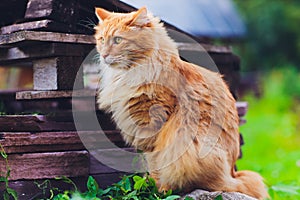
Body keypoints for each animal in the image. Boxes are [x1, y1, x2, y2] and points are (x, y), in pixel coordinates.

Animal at [95, 6, 268, 200]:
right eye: (101, 40)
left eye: (117, 40)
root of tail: (233, 173)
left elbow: (154, 164)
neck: (129, 73)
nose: (104, 55)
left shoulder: (153, 126)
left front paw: (155, 190)